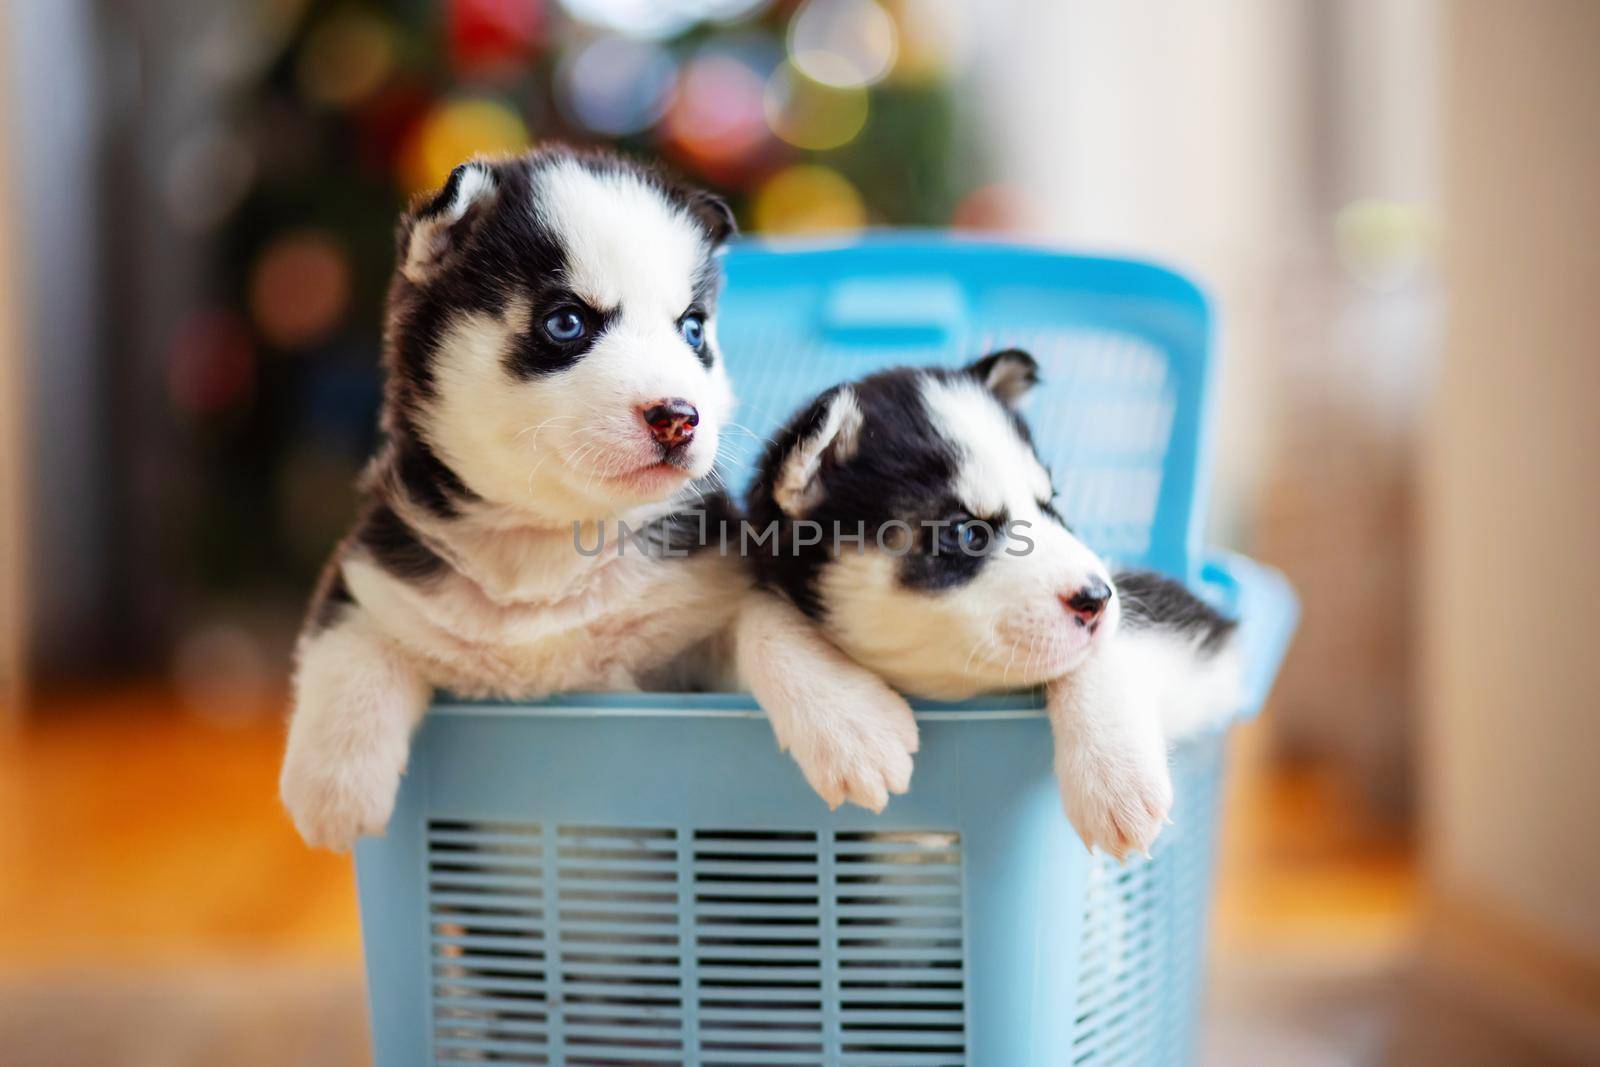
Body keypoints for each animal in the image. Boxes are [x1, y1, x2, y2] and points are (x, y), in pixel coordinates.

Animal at [278, 150, 752, 851]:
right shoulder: (376, 570)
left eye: (692, 330)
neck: (546, 538)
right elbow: (349, 643)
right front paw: (334, 792)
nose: (678, 417)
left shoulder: (707, 594)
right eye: (566, 322)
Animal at [736, 351, 1235, 857]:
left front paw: (1114, 774)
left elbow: (1112, 646)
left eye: (1050, 505)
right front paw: (848, 727)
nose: (1096, 598)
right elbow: (753, 615)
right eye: (968, 533)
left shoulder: (1197, 631)